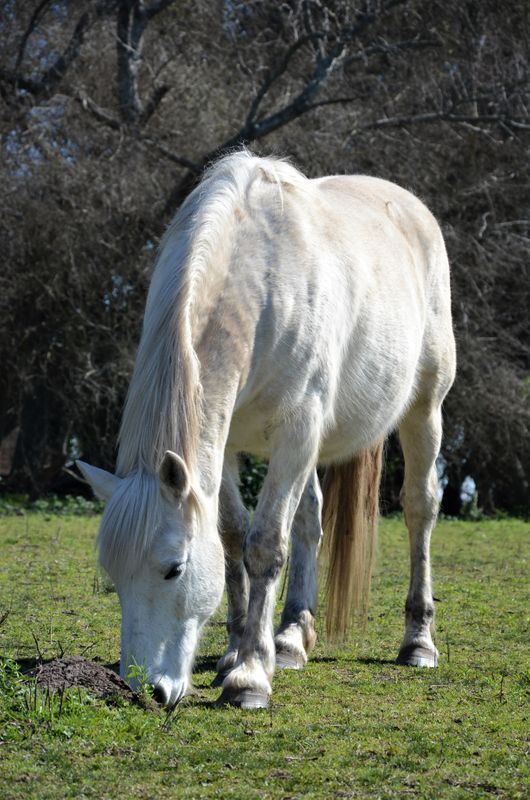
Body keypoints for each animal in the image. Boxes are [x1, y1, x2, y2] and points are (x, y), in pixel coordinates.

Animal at [77, 150, 454, 708]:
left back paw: (418, 642)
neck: (261, 286)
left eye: (174, 569)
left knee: (419, 510)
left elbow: (265, 545)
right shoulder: (226, 444)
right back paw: (292, 638)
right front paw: (237, 651)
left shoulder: (297, 430)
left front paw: (250, 676)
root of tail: (410, 208)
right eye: (115, 577)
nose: (146, 689)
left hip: (423, 409)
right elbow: (234, 539)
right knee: (311, 519)